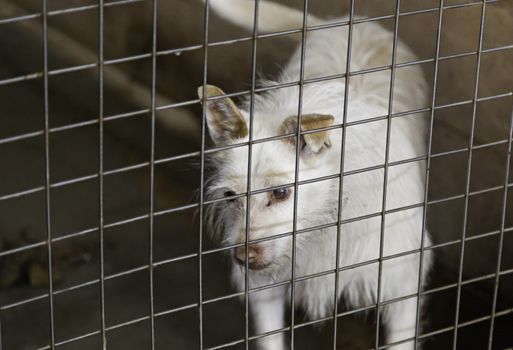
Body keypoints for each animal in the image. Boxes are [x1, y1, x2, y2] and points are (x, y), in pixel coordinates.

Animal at [198, 1, 430, 348]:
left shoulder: (402, 281)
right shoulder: (264, 290)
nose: (243, 258)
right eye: (230, 196)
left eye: (281, 192)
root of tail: (349, 20)